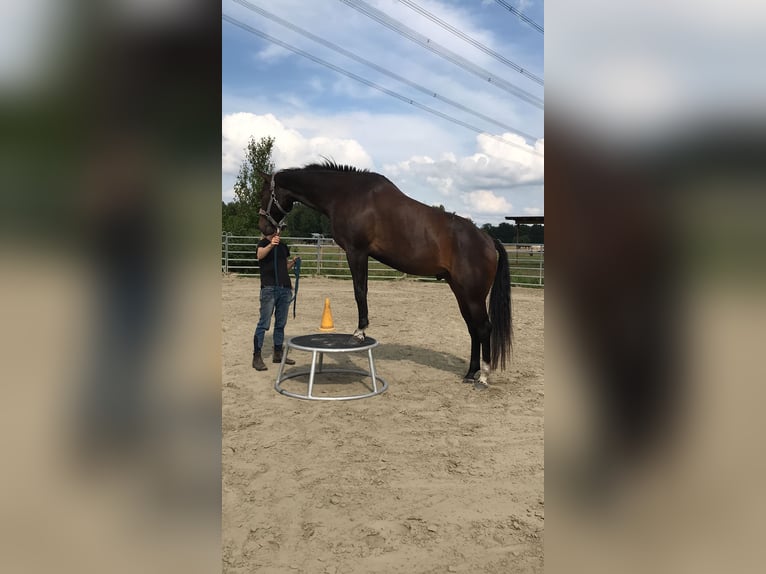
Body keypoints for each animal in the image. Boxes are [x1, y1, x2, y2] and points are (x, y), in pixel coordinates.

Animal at [257, 160, 512, 387]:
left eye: (264, 193)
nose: (264, 227)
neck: (346, 194)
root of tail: (488, 239)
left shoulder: (356, 252)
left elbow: (360, 291)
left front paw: (359, 332)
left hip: (473, 295)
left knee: (484, 328)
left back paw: (483, 377)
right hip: (460, 292)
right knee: (473, 329)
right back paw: (470, 373)